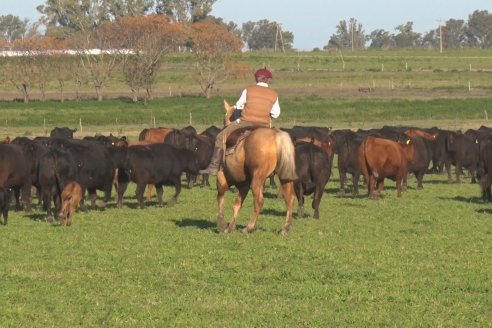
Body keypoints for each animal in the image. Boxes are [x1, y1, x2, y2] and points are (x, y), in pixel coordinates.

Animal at [216, 101, 296, 234]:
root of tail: (276, 136)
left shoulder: (223, 178)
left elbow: (221, 198)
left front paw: (222, 224)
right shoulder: (244, 184)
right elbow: (237, 204)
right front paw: (231, 226)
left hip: (257, 179)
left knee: (259, 200)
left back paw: (249, 227)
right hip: (284, 177)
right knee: (289, 199)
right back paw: (285, 228)